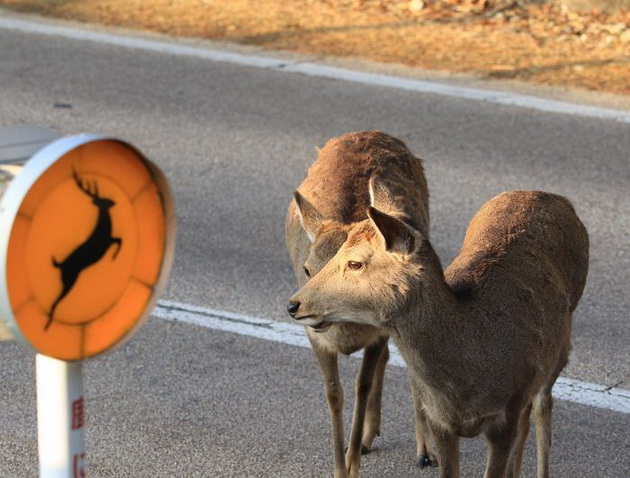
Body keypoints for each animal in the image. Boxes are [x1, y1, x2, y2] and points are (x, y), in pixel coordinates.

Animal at [47, 168, 123, 328]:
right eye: (104, 200)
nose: (114, 201)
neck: (104, 230)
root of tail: (60, 265)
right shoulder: (106, 242)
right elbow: (120, 241)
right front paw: (114, 257)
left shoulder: (109, 240)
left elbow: (120, 240)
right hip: (69, 279)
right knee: (56, 301)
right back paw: (48, 323)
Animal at [286, 132, 436, 478]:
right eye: (307, 269)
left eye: (351, 266)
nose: (300, 308)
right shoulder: (316, 339)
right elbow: (334, 393)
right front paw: (341, 465)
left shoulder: (378, 331)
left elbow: (361, 387)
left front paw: (352, 464)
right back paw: (370, 438)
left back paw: (423, 450)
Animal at [288, 190, 592, 478]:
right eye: (309, 266)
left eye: (355, 263)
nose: (294, 304)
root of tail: (554, 198)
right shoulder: (438, 419)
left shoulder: (504, 414)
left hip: (560, 344)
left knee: (543, 407)